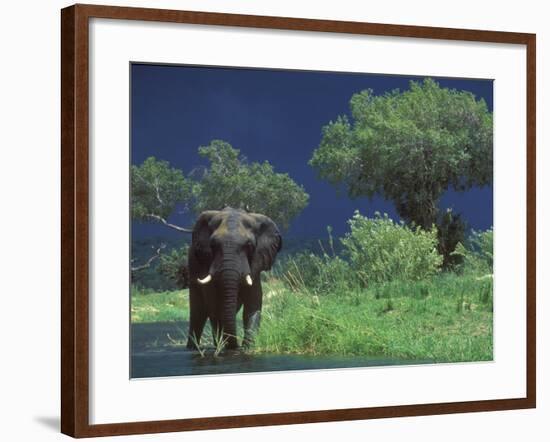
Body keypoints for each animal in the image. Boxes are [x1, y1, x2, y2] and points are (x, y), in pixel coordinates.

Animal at [188, 206, 282, 348]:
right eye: (213, 245)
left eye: (249, 245)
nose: (236, 345)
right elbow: (214, 307)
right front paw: (226, 346)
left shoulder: (255, 265)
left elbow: (252, 306)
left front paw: (247, 347)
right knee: (198, 313)